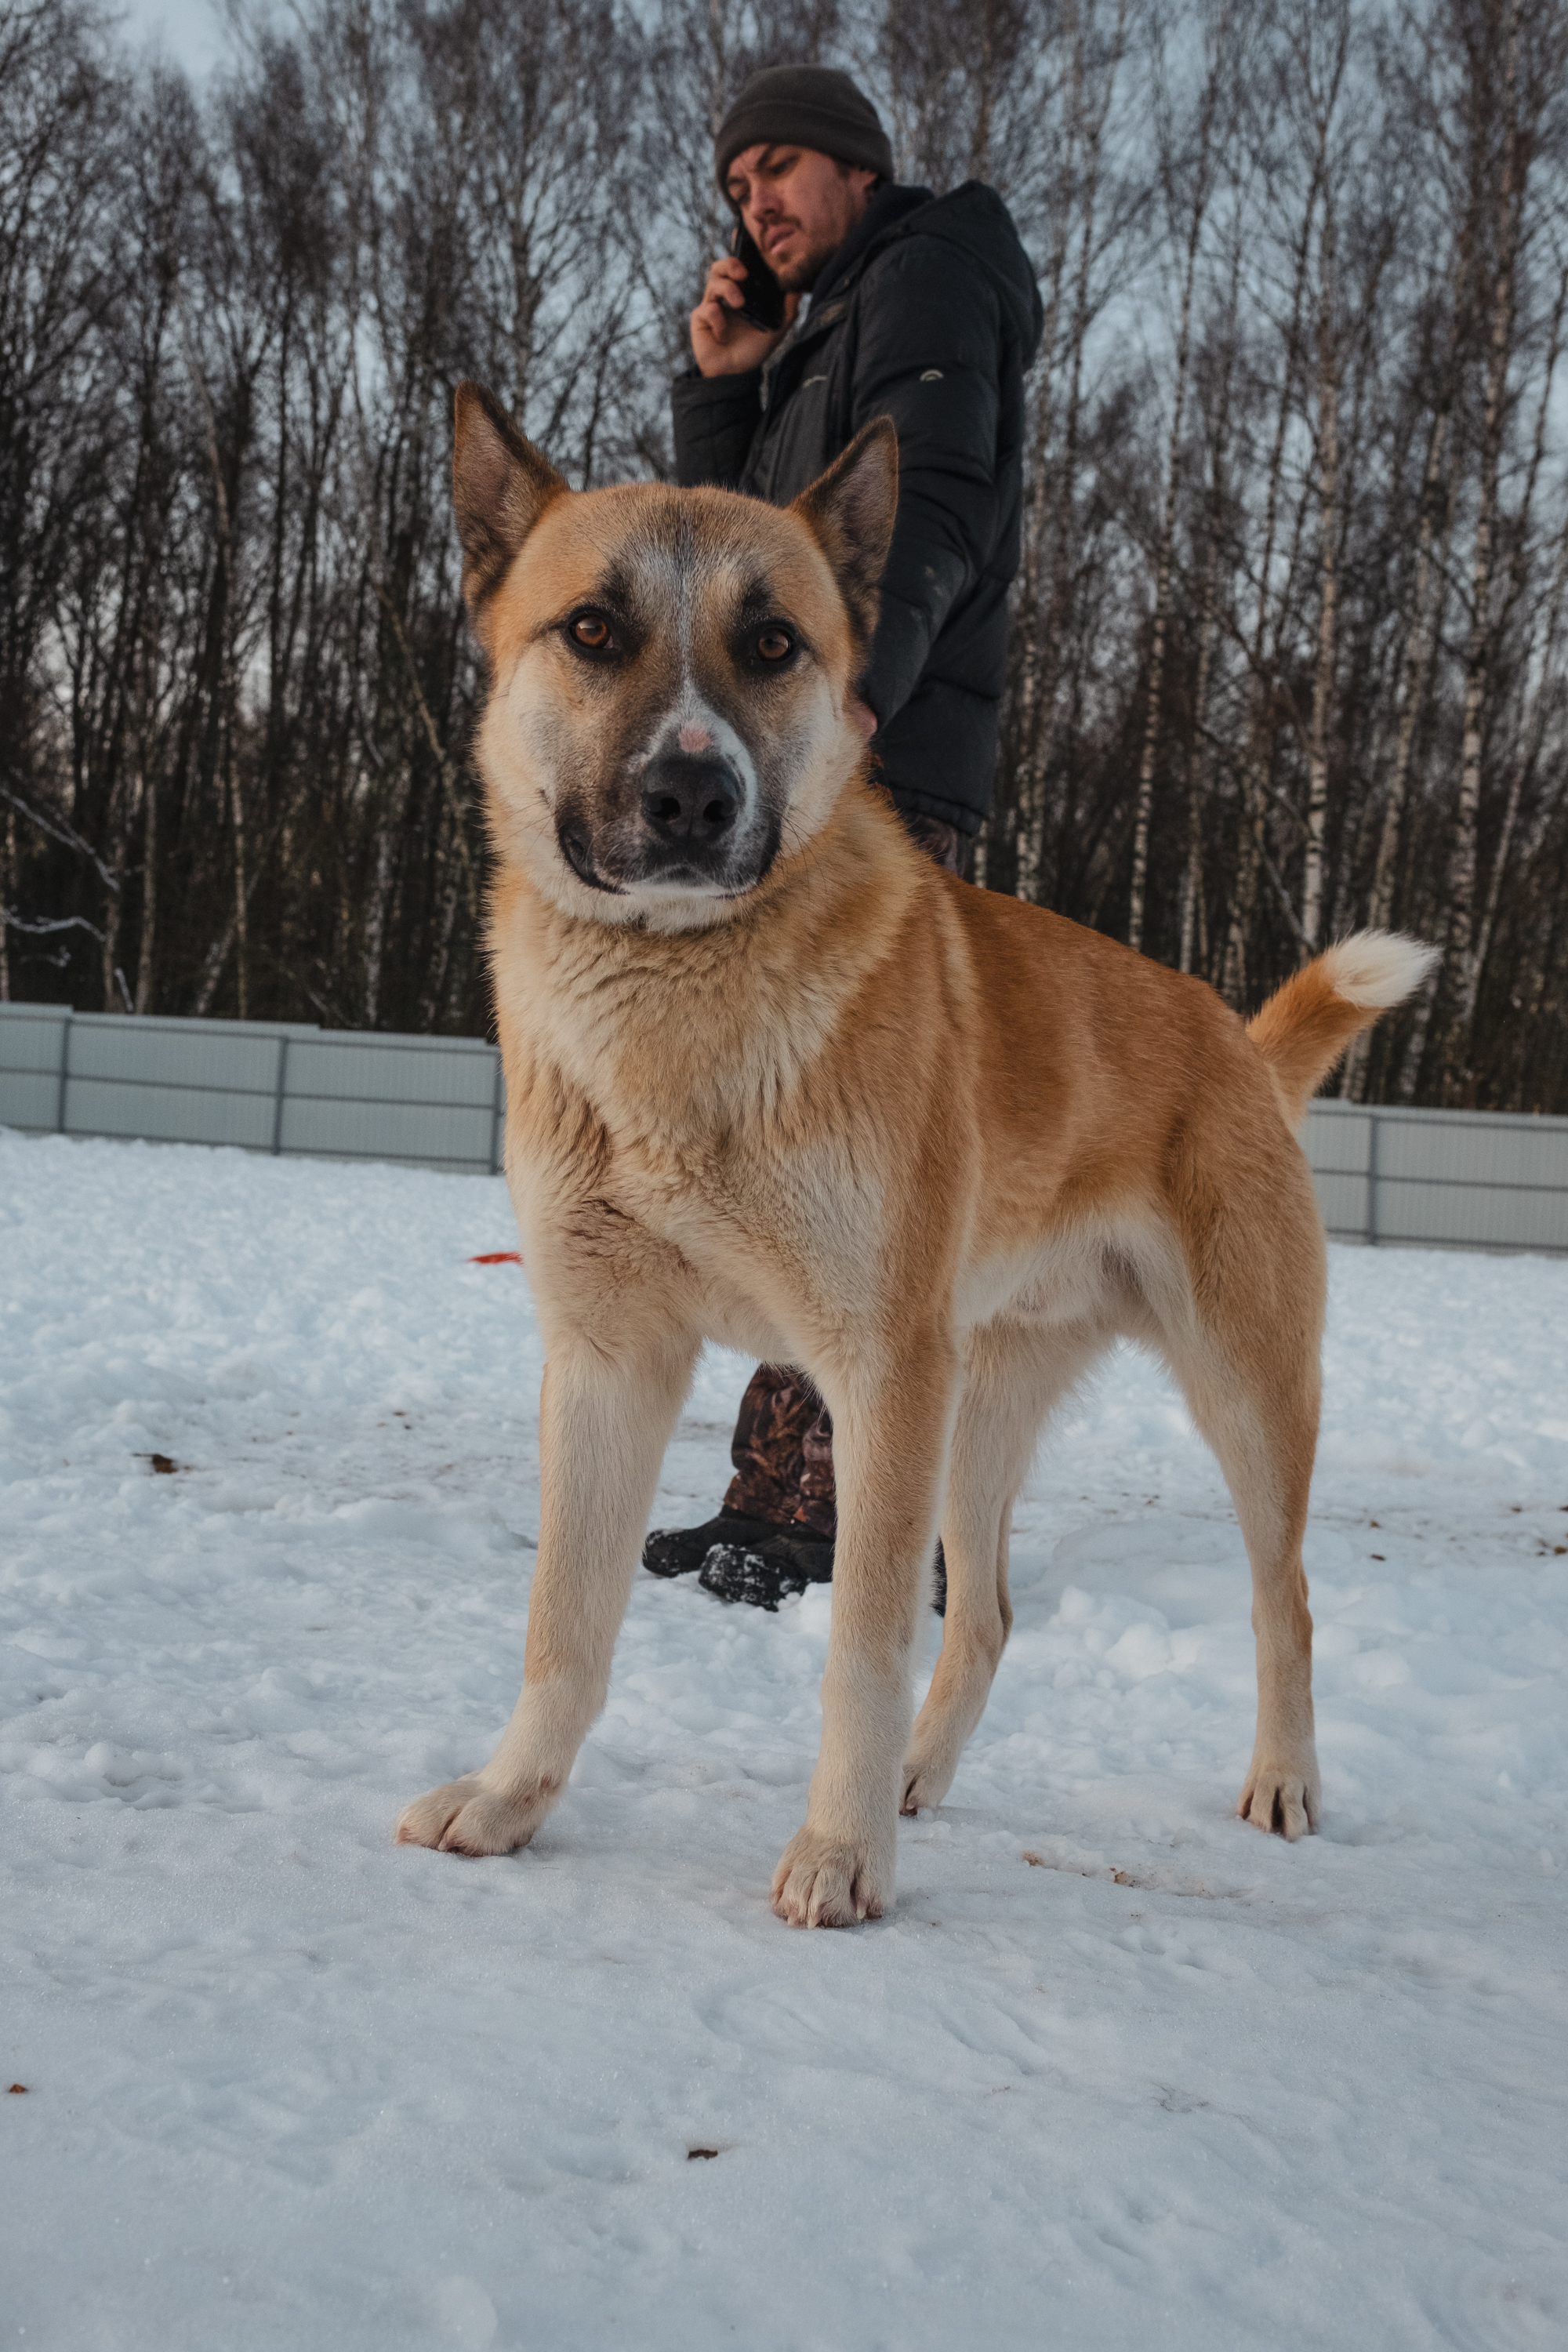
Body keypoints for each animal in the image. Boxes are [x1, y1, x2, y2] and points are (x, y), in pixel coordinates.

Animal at [394, 390, 1439, 1929]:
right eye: (592, 629)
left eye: (775, 643)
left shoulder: (875, 1372)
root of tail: (1234, 1038)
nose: (695, 795)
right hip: (978, 1406)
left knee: (1283, 1601)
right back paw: (914, 1778)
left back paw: (1281, 1783)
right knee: (990, 1614)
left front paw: (838, 1856)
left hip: (1237, 1391)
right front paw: (511, 1798)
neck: (682, 1009)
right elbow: (564, 1629)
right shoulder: (607, 1358)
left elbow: (862, 1645)